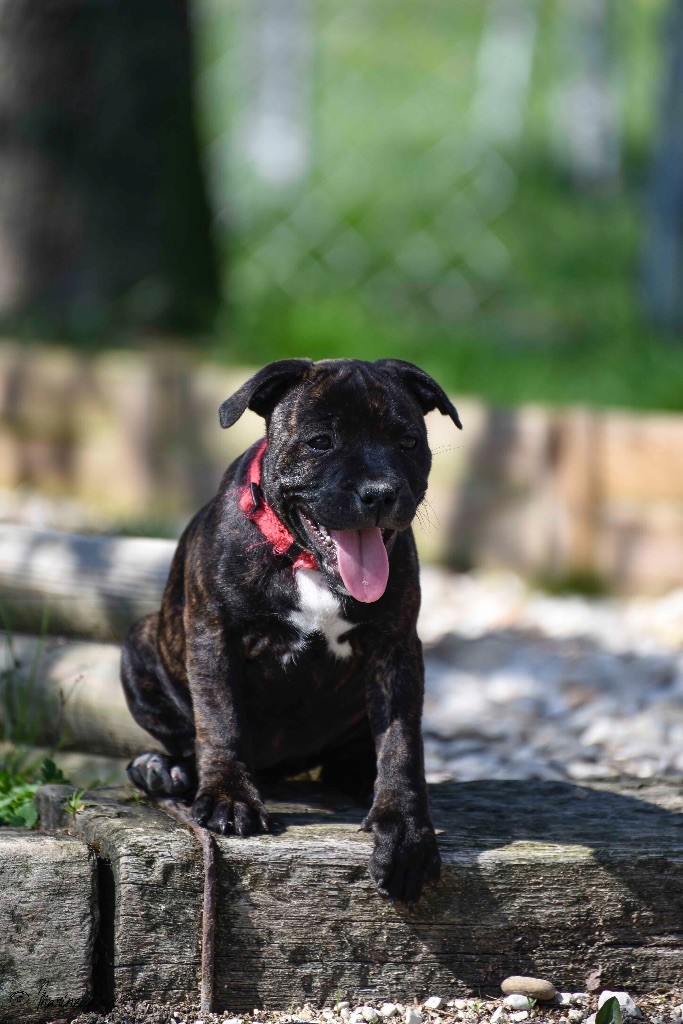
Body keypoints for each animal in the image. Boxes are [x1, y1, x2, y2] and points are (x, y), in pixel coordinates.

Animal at [122, 357, 461, 903]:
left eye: (409, 441)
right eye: (321, 441)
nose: (380, 492)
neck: (307, 561)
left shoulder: (396, 650)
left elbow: (402, 743)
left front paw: (406, 831)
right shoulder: (213, 634)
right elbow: (220, 721)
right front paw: (229, 798)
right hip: (138, 644)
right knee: (188, 738)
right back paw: (164, 769)